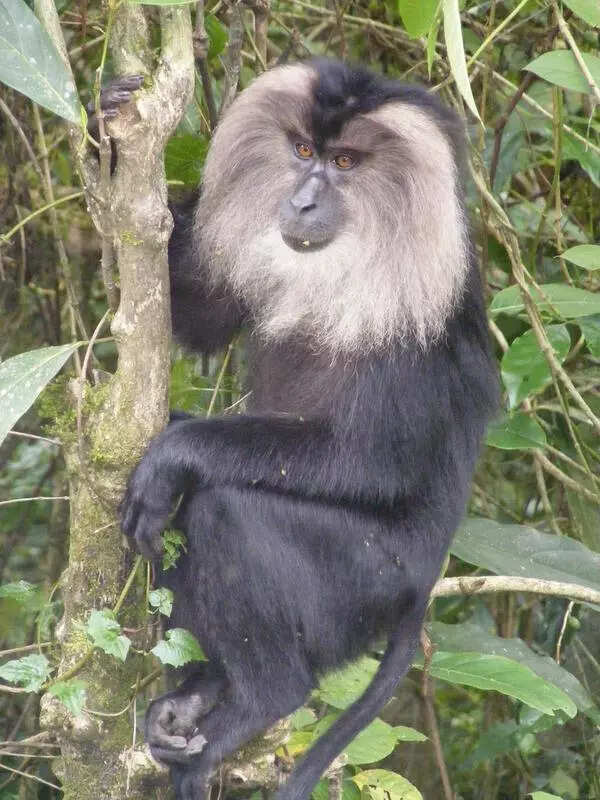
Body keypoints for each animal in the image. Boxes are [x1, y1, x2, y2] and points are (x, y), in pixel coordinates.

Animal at [116, 59, 498, 800]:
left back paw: (262, 698)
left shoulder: (407, 314)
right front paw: (108, 129)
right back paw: (201, 693)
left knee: (224, 509)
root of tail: (421, 592)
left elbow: (372, 464)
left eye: (344, 162)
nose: (301, 203)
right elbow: (199, 313)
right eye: (301, 152)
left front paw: (173, 453)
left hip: (362, 583)